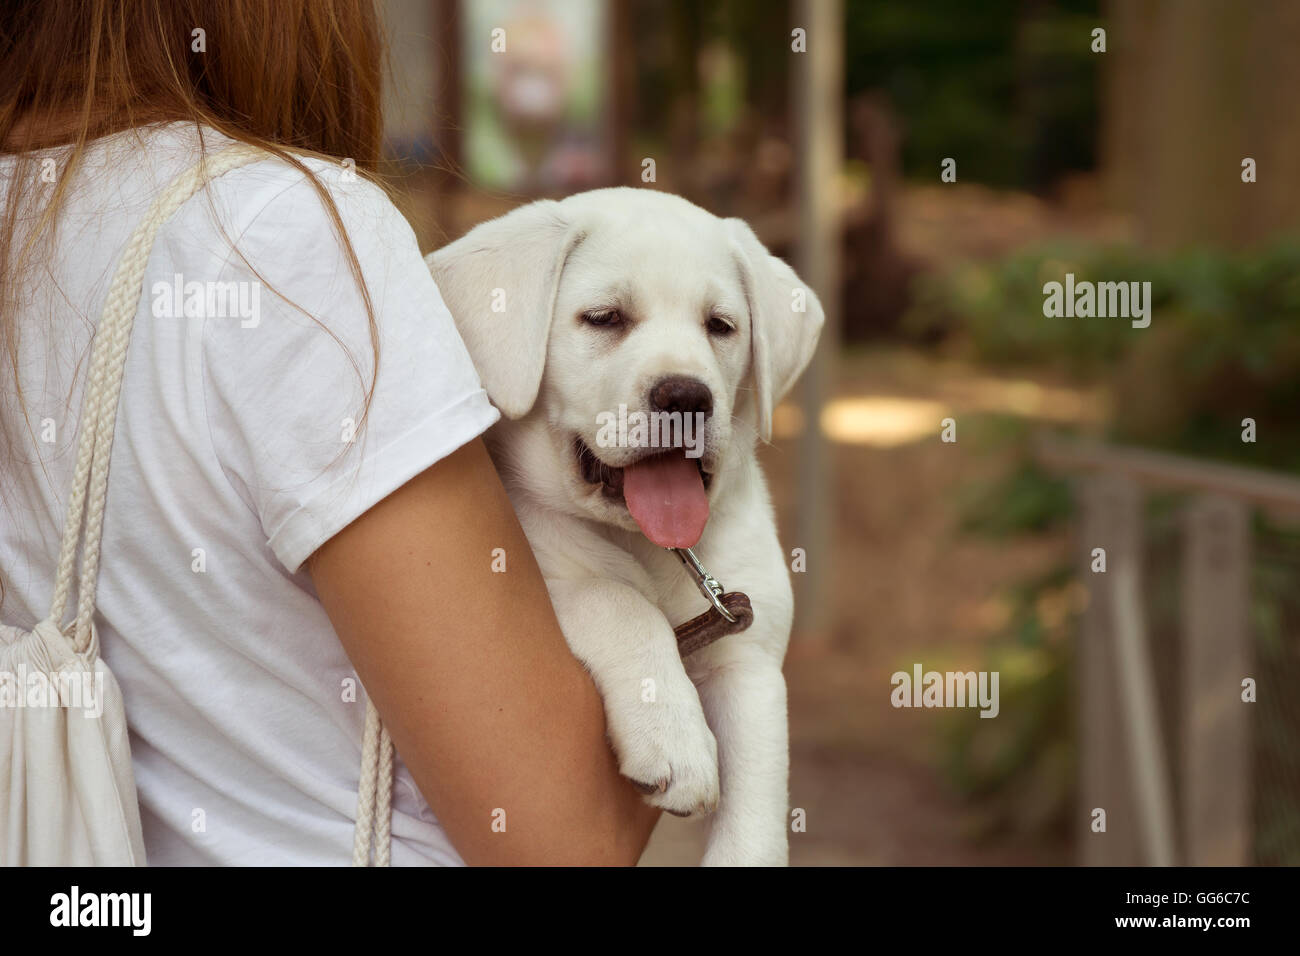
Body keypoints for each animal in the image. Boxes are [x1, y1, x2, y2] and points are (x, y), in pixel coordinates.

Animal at [426, 188, 821, 868]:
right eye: (605, 318)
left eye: (721, 326)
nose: (686, 396)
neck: (647, 545)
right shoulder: (534, 580)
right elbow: (618, 601)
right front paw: (675, 739)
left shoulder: (749, 659)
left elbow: (756, 815)